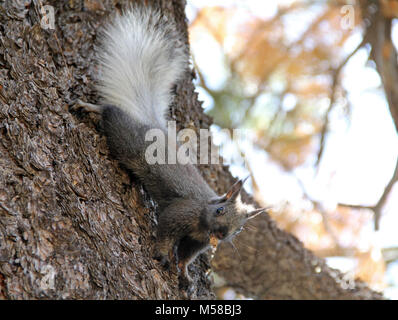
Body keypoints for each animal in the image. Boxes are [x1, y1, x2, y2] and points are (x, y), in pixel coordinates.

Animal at [74, 5, 268, 290]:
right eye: (220, 210)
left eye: (240, 228)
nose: (222, 234)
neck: (203, 224)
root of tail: (150, 123)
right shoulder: (182, 212)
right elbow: (166, 230)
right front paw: (163, 253)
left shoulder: (197, 241)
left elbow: (186, 256)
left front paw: (185, 274)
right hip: (127, 139)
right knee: (111, 114)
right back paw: (91, 108)